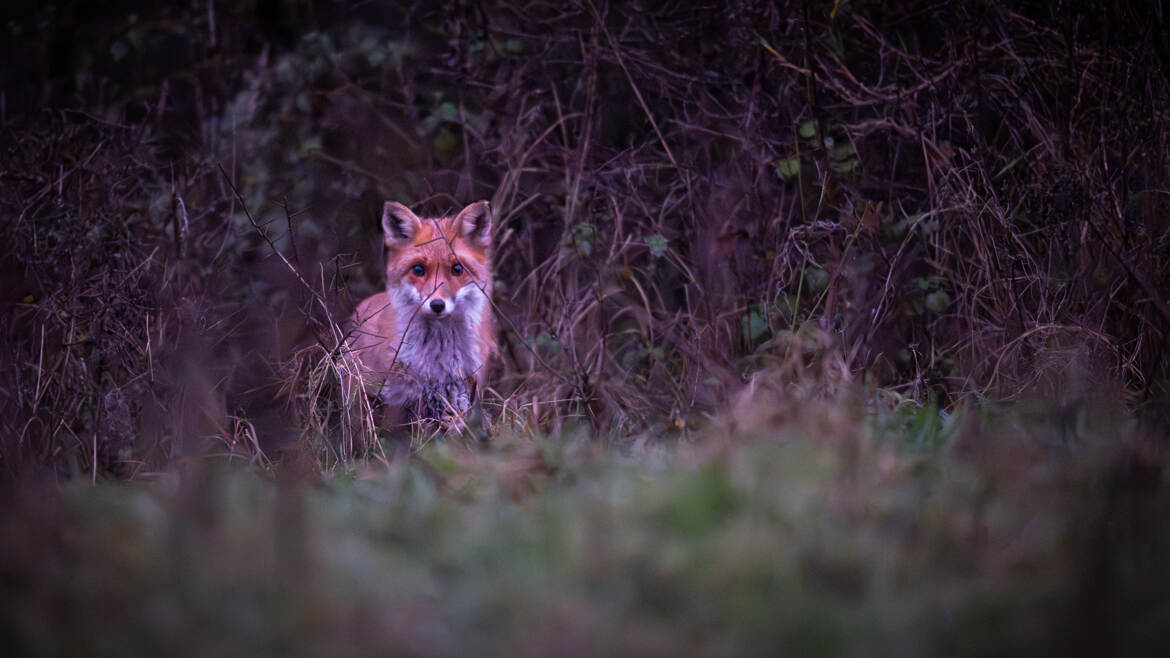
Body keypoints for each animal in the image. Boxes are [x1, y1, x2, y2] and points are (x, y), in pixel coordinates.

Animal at [343, 196, 496, 428]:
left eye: (457, 269)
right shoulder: (400, 398)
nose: (437, 305)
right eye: (418, 270)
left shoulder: (461, 393)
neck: (439, 355)